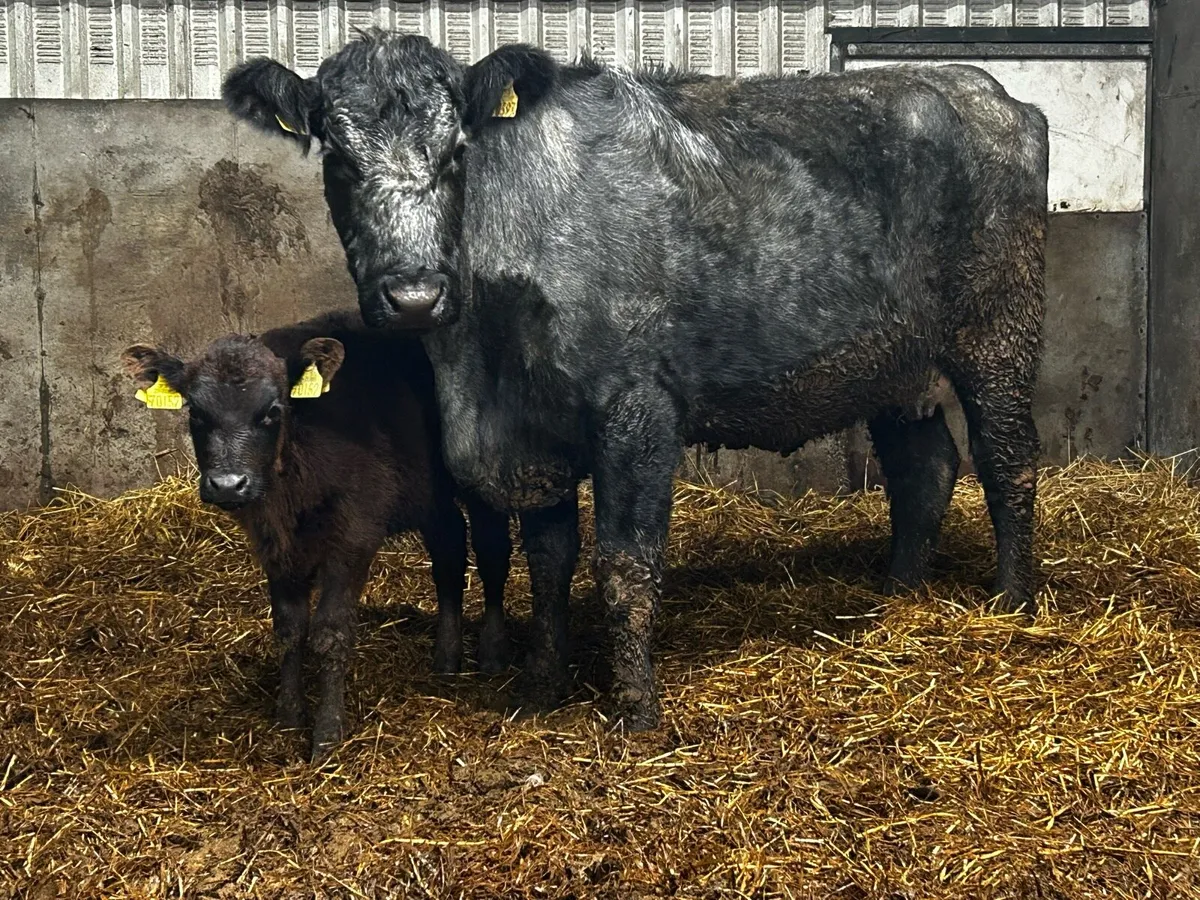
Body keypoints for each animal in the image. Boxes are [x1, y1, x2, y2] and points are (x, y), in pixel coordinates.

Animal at [121, 310, 513, 760]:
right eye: (196, 412)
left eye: (273, 410)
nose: (228, 484)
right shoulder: (275, 547)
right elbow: (289, 629)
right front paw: (289, 716)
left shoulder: (354, 537)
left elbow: (331, 631)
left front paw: (327, 733)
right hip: (430, 492)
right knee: (449, 550)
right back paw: (447, 658)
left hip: (482, 477)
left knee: (492, 552)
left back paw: (492, 653)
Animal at [222, 31, 1049, 731]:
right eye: (338, 159)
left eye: (456, 152)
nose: (414, 296)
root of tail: (981, 87)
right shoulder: (533, 432)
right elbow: (549, 560)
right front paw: (541, 686)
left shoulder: (637, 407)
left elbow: (625, 562)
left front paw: (636, 710)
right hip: (894, 364)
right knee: (926, 468)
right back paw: (897, 593)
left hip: (999, 328)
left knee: (1007, 460)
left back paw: (1012, 602)